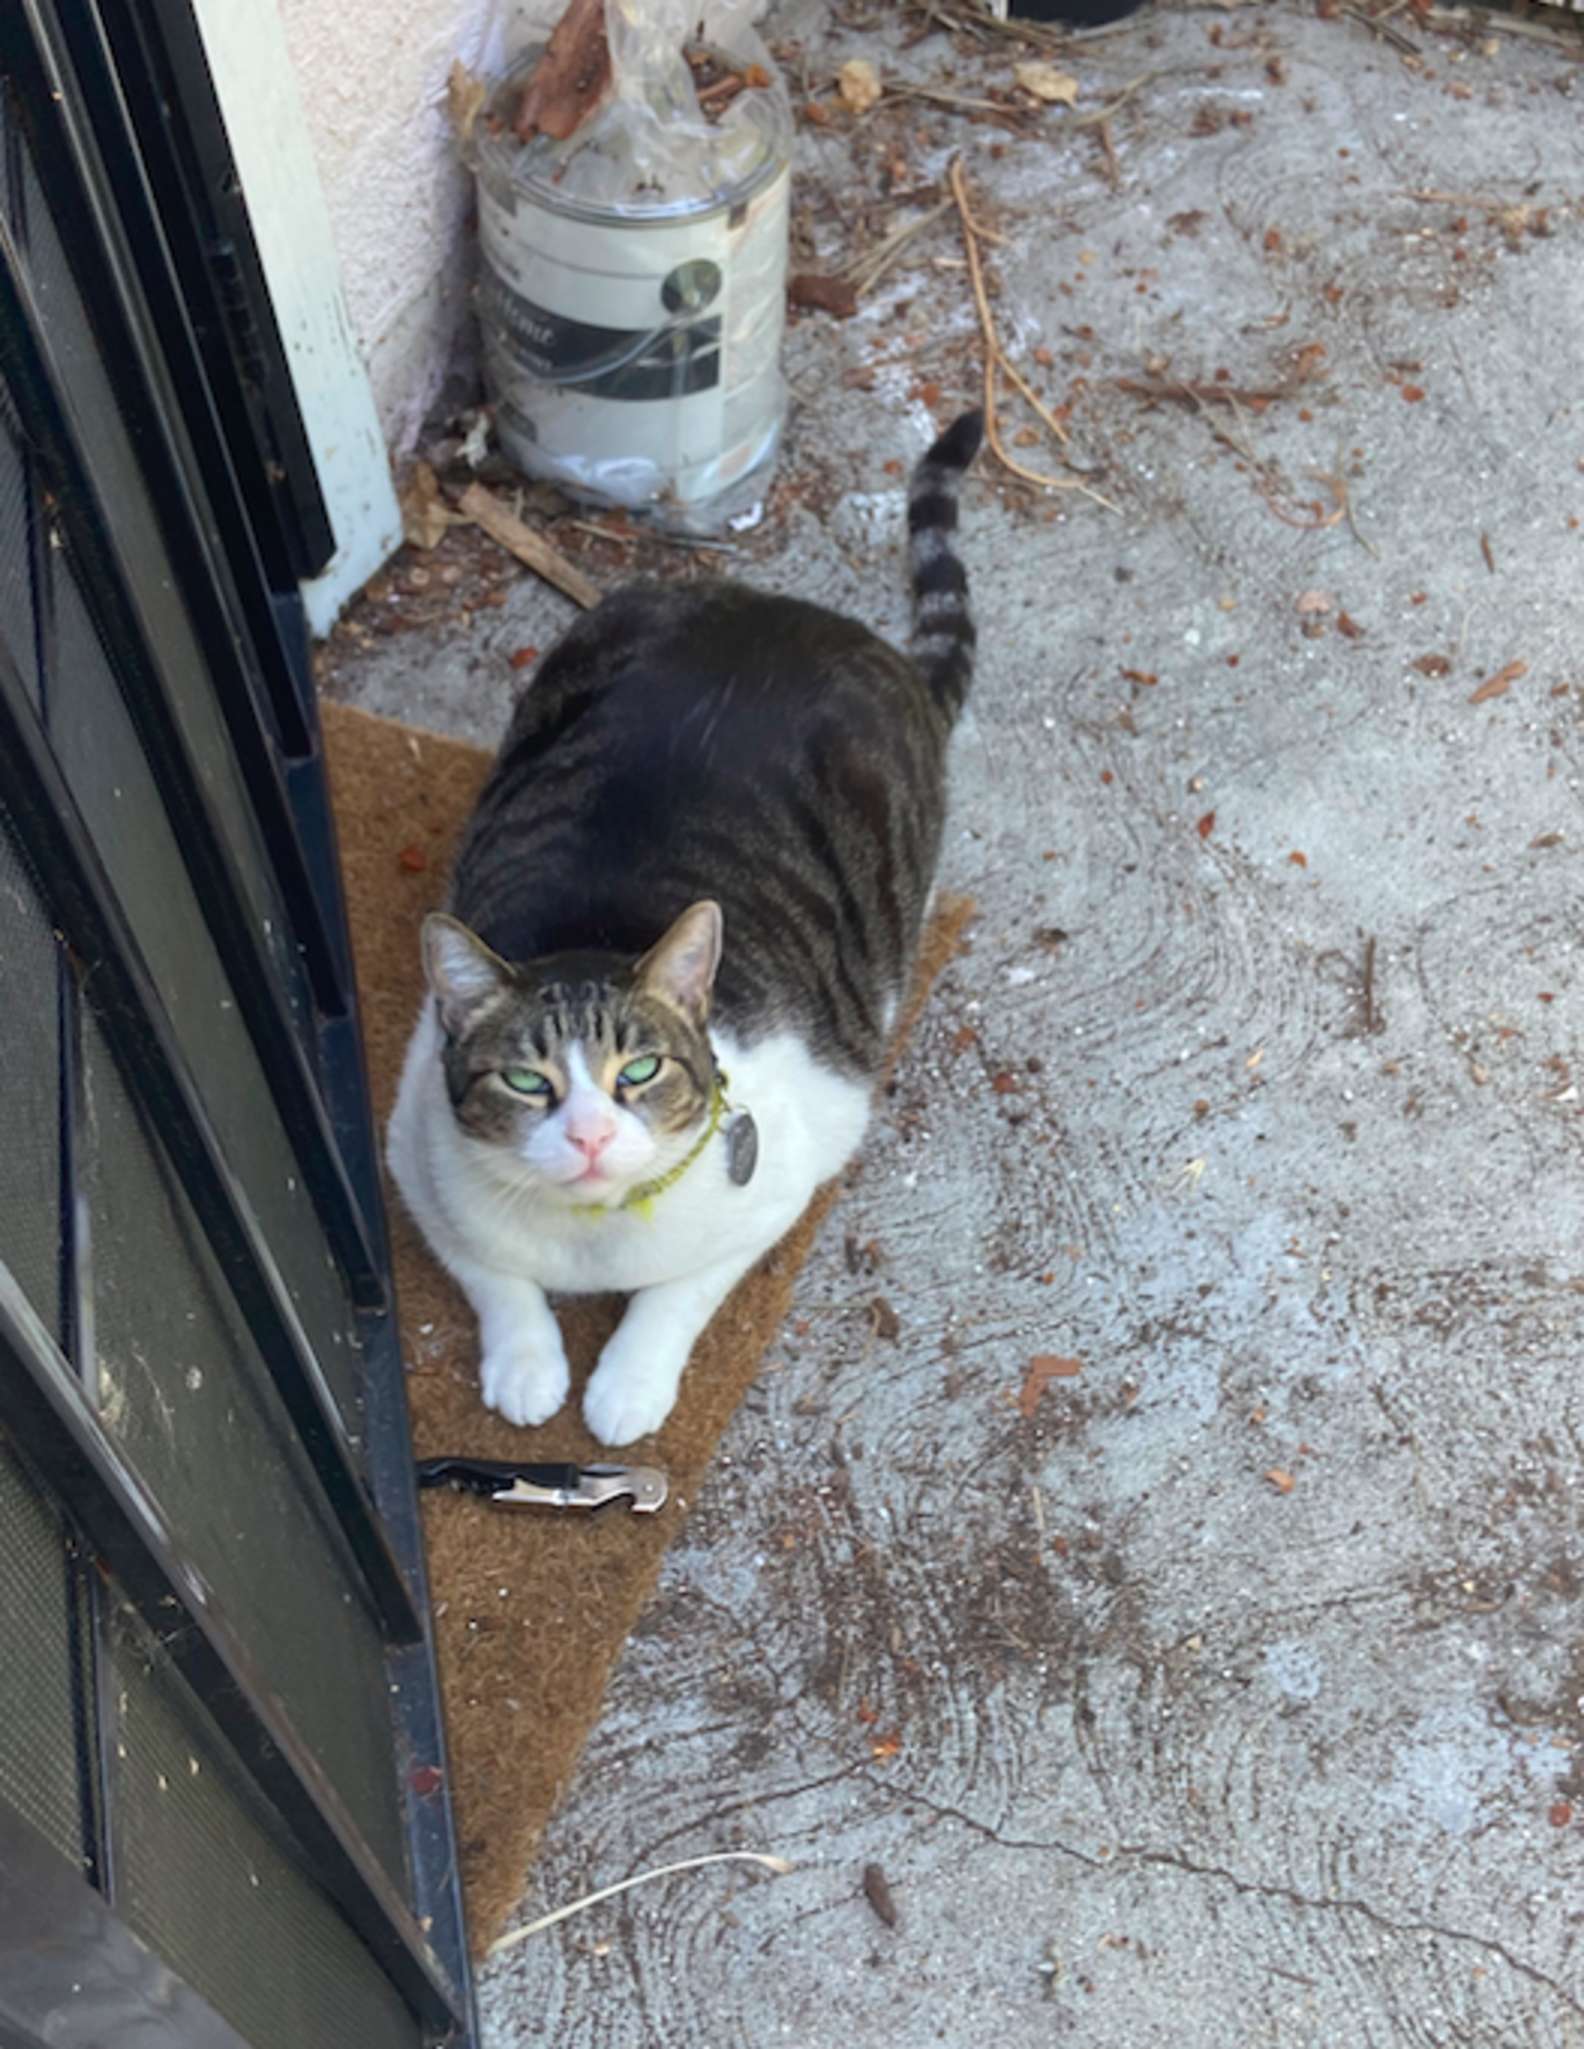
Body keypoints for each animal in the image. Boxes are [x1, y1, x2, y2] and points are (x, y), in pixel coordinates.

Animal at [385, 411, 975, 1442]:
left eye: (640, 1070)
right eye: (527, 1080)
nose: (587, 1135)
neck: (594, 1235)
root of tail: (825, 622)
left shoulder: (786, 1169)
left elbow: (677, 1293)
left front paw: (625, 1385)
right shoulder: (413, 1152)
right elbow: (495, 1274)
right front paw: (527, 1364)